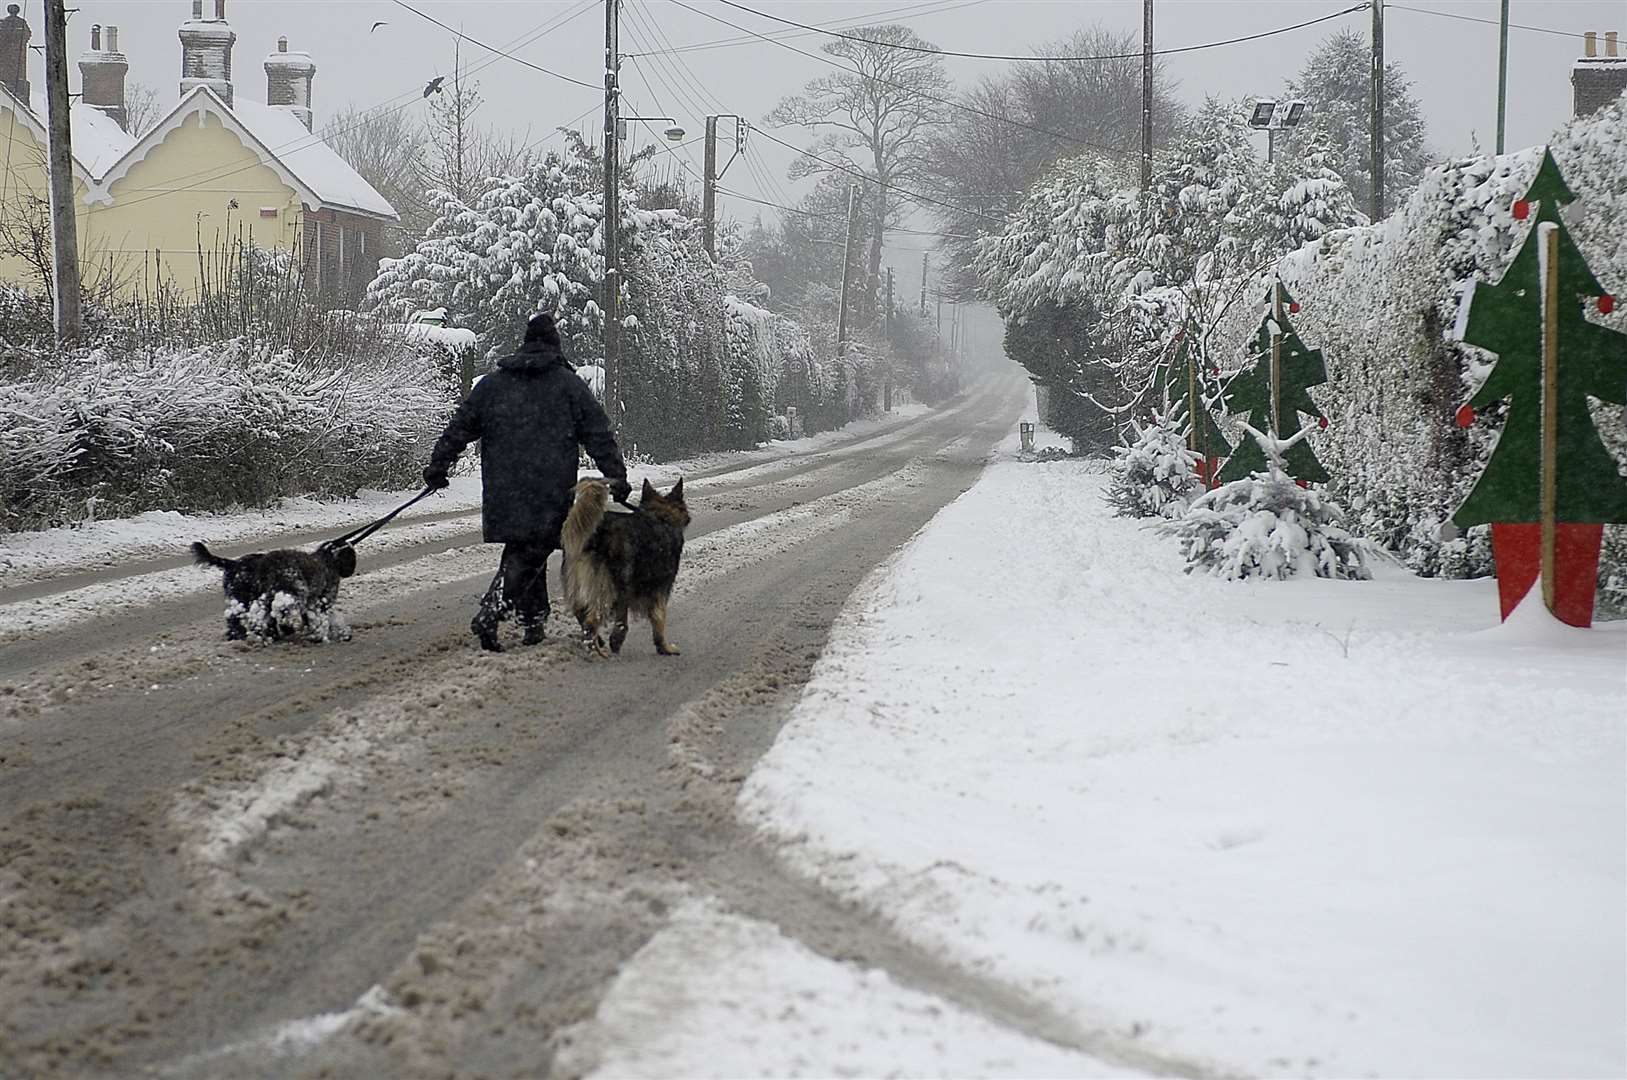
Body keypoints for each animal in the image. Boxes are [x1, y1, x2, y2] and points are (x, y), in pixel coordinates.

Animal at [190, 540, 356, 640]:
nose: (351, 570)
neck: (328, 559)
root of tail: (233, 564)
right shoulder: (323, 598)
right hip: (286, 591)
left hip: (245, 598)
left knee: (237, 616)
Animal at [562, 478, 689, 653]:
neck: (660, 516)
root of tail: (597, 533)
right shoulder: (660, 587)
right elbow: (658, 618)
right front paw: (664, 647)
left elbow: (623, 616)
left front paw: (616, 640)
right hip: (607, 587)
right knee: (591, 620)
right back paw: (596, 648)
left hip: (579, 582)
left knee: (581, 614)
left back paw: (598, 641)